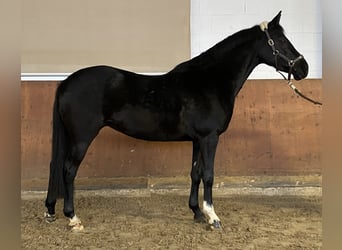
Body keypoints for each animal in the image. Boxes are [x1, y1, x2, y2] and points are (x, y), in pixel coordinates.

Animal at [44, 12, 308, 230]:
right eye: (281, 41)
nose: (303, 68)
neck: (210, 80)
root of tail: (66, 82)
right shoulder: (210, 138)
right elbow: (209, 175)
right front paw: (213, 218)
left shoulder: (197, 140)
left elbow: (195, 173)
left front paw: (197, 213)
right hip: (82, 138)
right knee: (68, 170)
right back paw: (73, 218)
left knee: (56, 167)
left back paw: (50, 211)